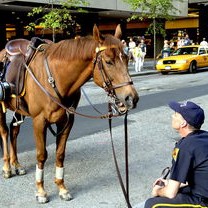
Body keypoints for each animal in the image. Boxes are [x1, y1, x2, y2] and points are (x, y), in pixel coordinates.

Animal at [0, 24, 139, 203]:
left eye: (127, 58)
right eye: (108, 61)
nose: (131, 98)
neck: (55, 77)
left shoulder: (66, 121)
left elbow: (60, 154)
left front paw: (61, 187)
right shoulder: (39, 121)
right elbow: (41, 155)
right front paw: (41, 190)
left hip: (19, 110)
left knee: (14, 130)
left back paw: (16, 164)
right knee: (5, 131)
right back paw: (7, 167)